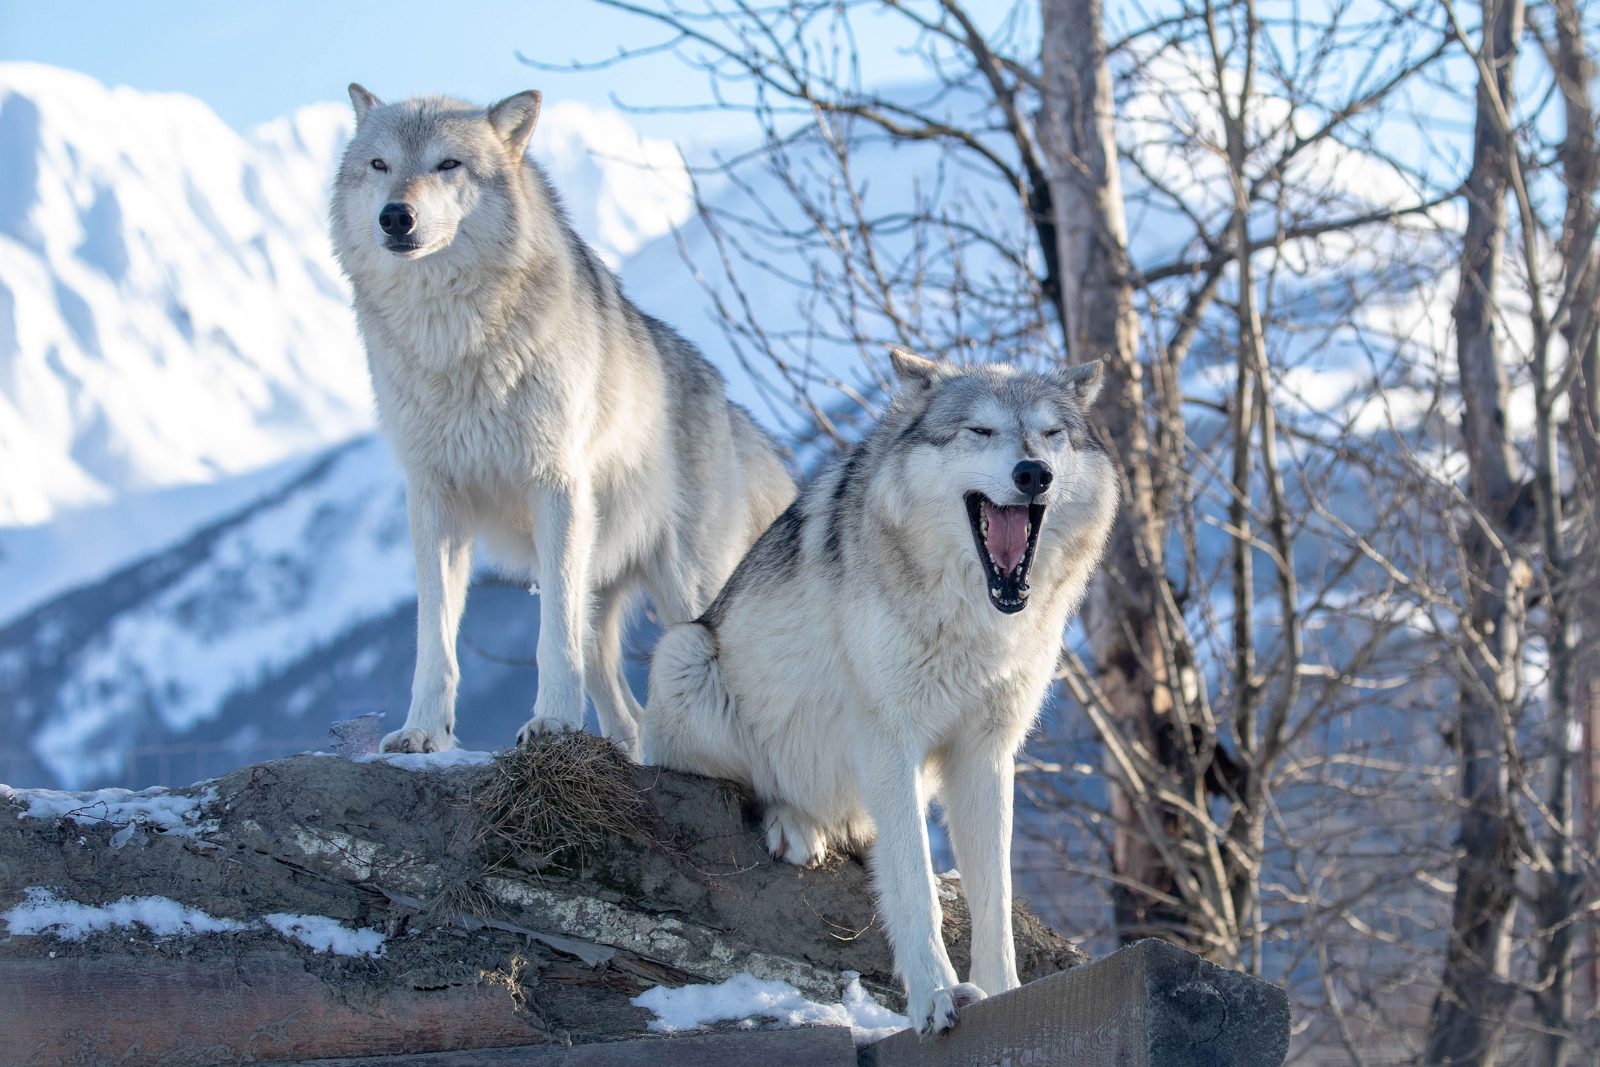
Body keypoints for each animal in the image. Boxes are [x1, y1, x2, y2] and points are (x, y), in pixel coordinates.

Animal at [330, 85, 795, 758]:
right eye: (379, 165)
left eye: (448, 165)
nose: (396, 216)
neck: (455, 343)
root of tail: (734, 412)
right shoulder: (435, 500)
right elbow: (434, 639)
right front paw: (423, 731)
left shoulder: (557, 488)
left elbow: (551, 641)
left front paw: (550, 723)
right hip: (604, 593)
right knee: (626, 710)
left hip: (687, 587)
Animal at [644, 350, 1118, 1033]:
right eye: (979, 431)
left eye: (1052, 434)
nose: (1034, 473)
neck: (975, 620)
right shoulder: (890, 738)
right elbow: (913, 889)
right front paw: (937, 999)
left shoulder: (986, 753)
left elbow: (994, 896)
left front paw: (1002, 993)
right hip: (682, 654)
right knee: (755, 785)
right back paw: (795, 825)